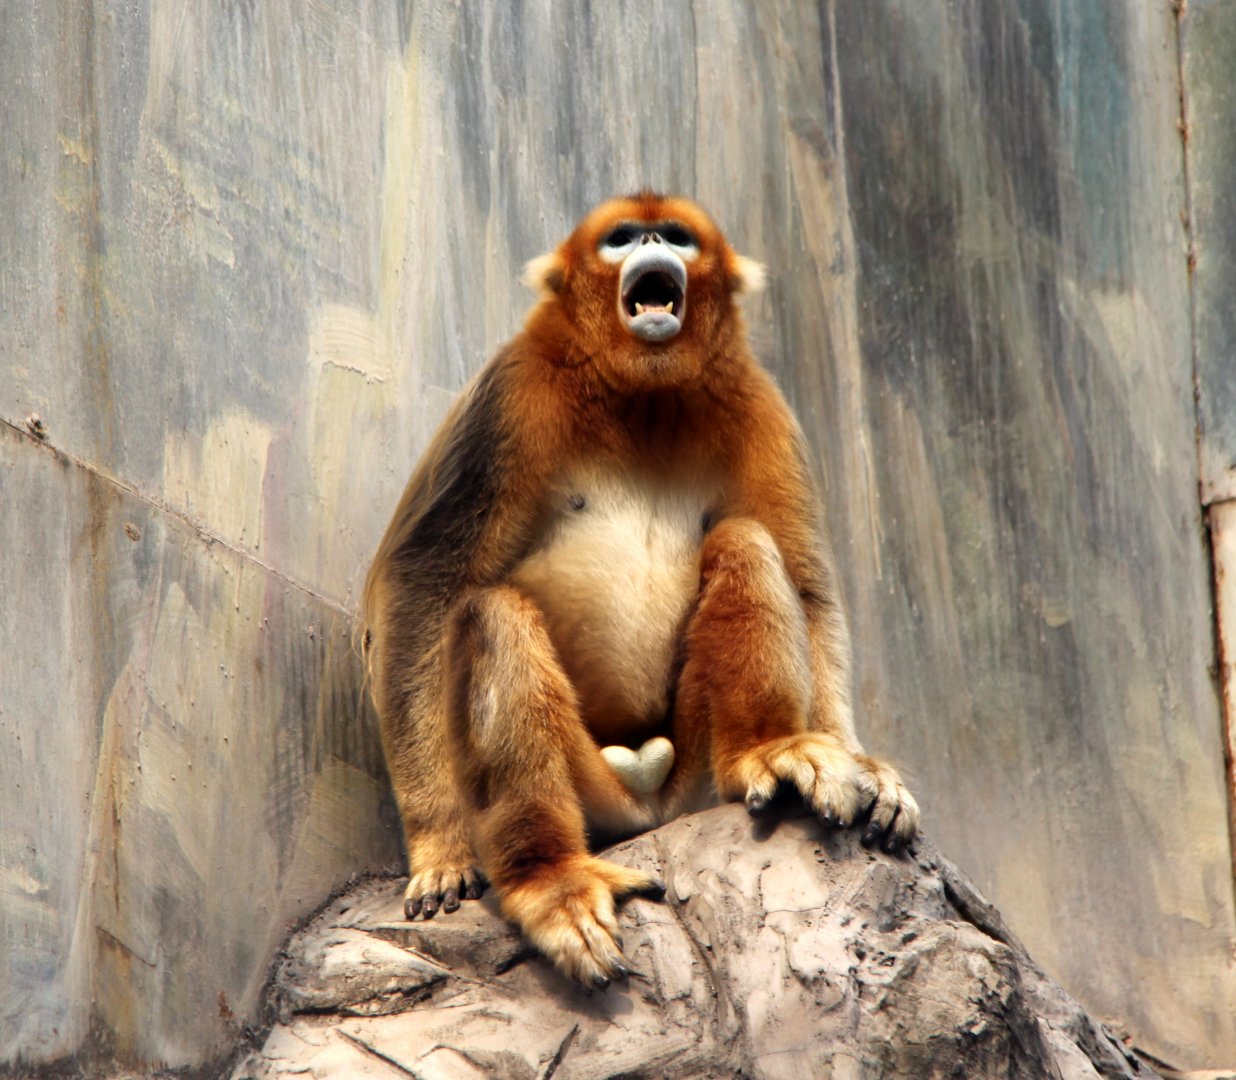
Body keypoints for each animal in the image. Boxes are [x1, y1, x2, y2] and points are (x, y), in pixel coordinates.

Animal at [361, 194, 919, 988]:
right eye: (623, 237)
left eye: (676, 237)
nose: (653, 242)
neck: (641, 395)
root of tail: (648, 805)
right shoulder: (509, 390)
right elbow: (423, 583)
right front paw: (441, 845)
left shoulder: (759, 400)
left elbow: (811, 588)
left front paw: (864, 766)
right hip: (596, 794)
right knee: (490, 615)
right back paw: (550, 878)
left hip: (695, 775)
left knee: (746, 541)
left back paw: (773, 750)